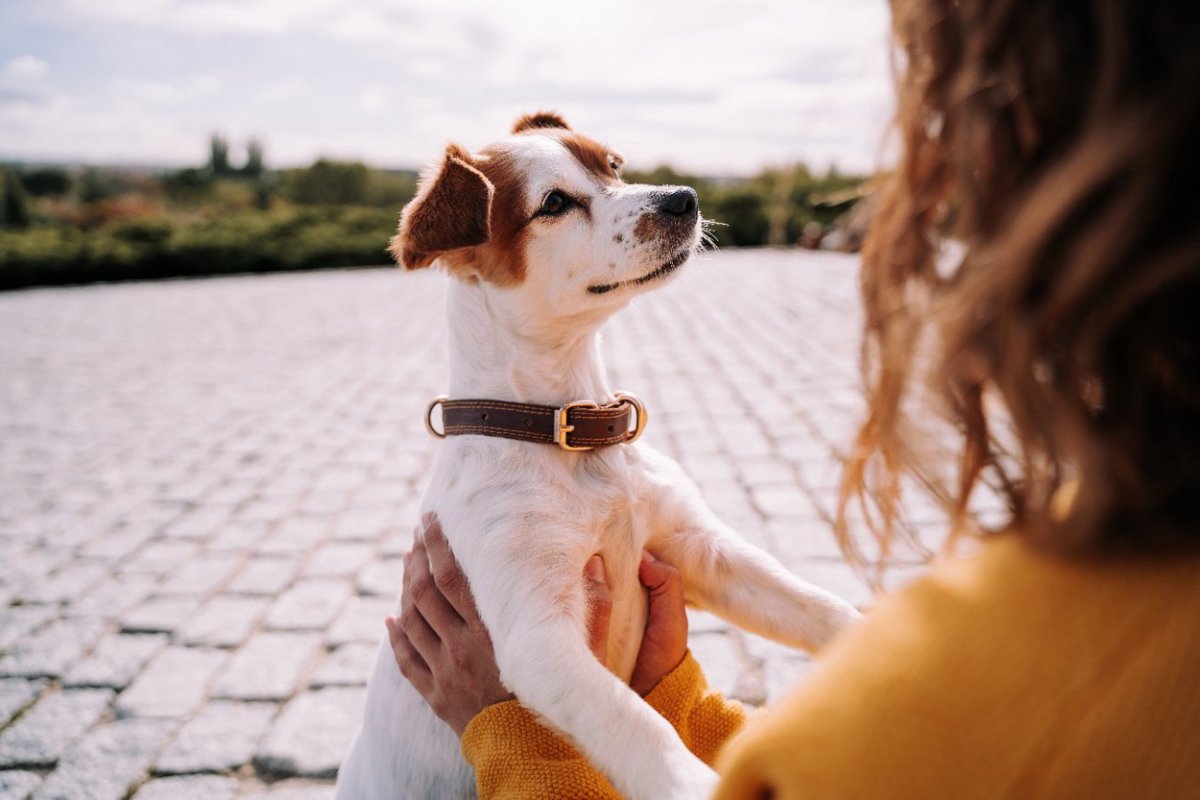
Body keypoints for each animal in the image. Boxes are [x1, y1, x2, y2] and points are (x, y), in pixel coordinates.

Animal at [338, 113, 864, 800]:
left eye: (612, 165)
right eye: (554, 203)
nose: (683, 198)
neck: (575, 438)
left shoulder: (697, 549)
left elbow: (818, 605)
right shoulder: (538, 638)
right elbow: (637, 723)